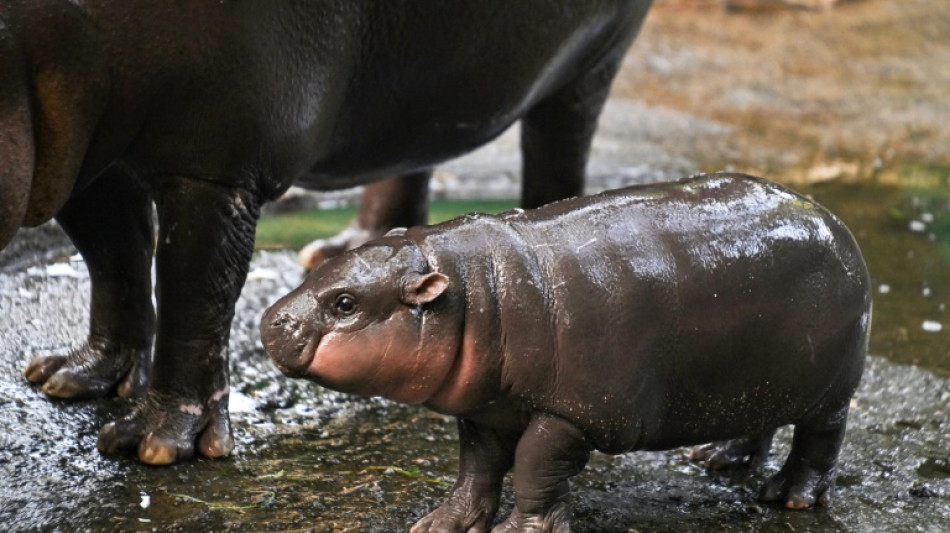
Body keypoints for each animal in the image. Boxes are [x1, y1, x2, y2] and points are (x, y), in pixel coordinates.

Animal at [0, 1, 656, 462]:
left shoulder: (216, 164)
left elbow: (192, 293)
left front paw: (153, 444)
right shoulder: (80, 153)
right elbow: (116, 261)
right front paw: (73, 378)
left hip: (593, 59)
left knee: (559, 144)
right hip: (416, 87)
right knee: (412, 146)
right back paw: (344, 250)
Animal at [258, 172, 872, 528]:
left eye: (344, 303)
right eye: (325, 264)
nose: (270, 320)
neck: (478, 293)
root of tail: (830, 218)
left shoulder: (573, 415)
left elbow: (532, 466)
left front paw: (519, 530)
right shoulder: (487, 408)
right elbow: (476, 468)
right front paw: (440, 524)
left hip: (831, 386)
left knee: (821, 438)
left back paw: (788, 497)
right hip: (756, 373)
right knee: (759, 421)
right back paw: (717, 459)